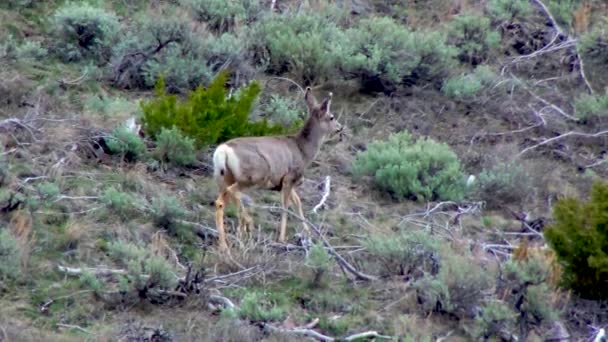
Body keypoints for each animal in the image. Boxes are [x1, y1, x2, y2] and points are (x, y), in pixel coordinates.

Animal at [213, 87, 342, 252]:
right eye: (331, 117)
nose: (340, 128)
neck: (303, 151)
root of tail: (222, 150)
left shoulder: (286, 183)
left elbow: (298, 203)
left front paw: (307, 233)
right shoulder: (289, 178)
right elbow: (285, 207)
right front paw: (282, 238)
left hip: (224, 177)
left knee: (221, 202)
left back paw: (226, 243)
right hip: (253, 177)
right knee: (232, 194)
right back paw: (247, 225)